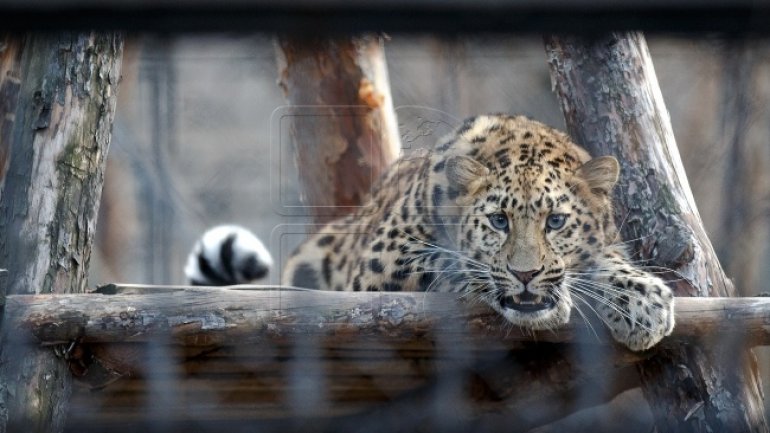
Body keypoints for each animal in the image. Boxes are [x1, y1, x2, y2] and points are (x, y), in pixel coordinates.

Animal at [188, 113, 672, 350]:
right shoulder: (382, 264)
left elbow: (606, 258)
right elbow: (456, 263)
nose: (525, 275)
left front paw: (643, 303)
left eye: (556, 221)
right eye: (499, 220)